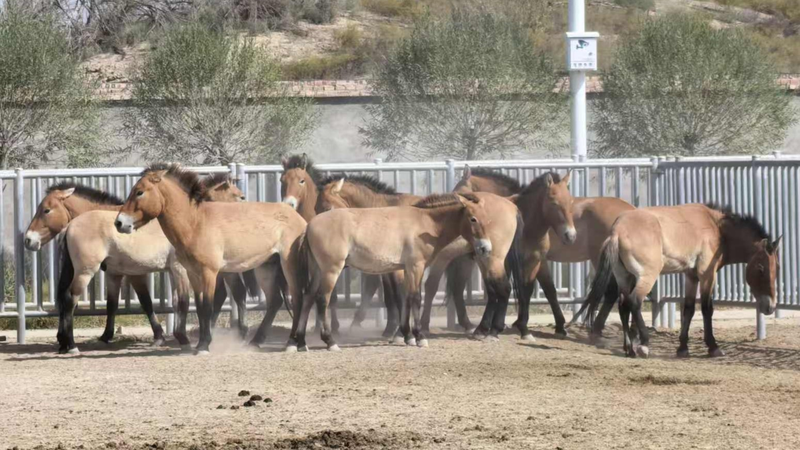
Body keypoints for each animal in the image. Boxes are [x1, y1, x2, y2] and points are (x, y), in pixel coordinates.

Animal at [43, 175, 252, 353]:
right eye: (239, 196)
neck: (190, 223)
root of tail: (70, 226)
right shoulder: (176, 270)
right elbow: (178, 302)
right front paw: (180, 338)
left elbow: (170, 302)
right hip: (85, 272)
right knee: (70, 298)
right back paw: (70, 345)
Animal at [115, 163, 306, 354]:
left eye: (139, 192)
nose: (119, 223)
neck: (195, 222)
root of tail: (299, 218)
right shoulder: (193, 274)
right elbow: (200, 308)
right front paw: (200, 343)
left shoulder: (209, 273)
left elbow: (208, 305)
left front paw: (204, 346)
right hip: (266, 268)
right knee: (275, 301)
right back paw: (255, 341)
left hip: (288, 265)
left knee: (297, 298)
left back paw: (292, 343)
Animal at [286, 192, 522, 352]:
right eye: (473, 219)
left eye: (487, 219)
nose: (485, 248)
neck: (425, 223)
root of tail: (309, 226)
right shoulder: (416, 267)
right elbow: (416, 298)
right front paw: (419, 337)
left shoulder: (407, 269)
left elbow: (407, 298)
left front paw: (407, 335)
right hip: (330, 270)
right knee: (322, 299)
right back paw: (330, 341)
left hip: (318, 271)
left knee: (308, 297)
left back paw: (301, 342)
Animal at [573, 203, 781, 358]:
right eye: (761, 268)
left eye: (777, 268)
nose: (770, 307)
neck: (715, 227)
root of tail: (617, 232)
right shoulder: (707, 274)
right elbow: (706, 308)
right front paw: (713, 347)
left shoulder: (691, 276)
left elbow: (688, 309)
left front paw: (682, 348)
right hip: (647, 277)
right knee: (634, 302)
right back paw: (644, 345)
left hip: (625, 278)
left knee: (624, 305)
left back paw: (629, 348)